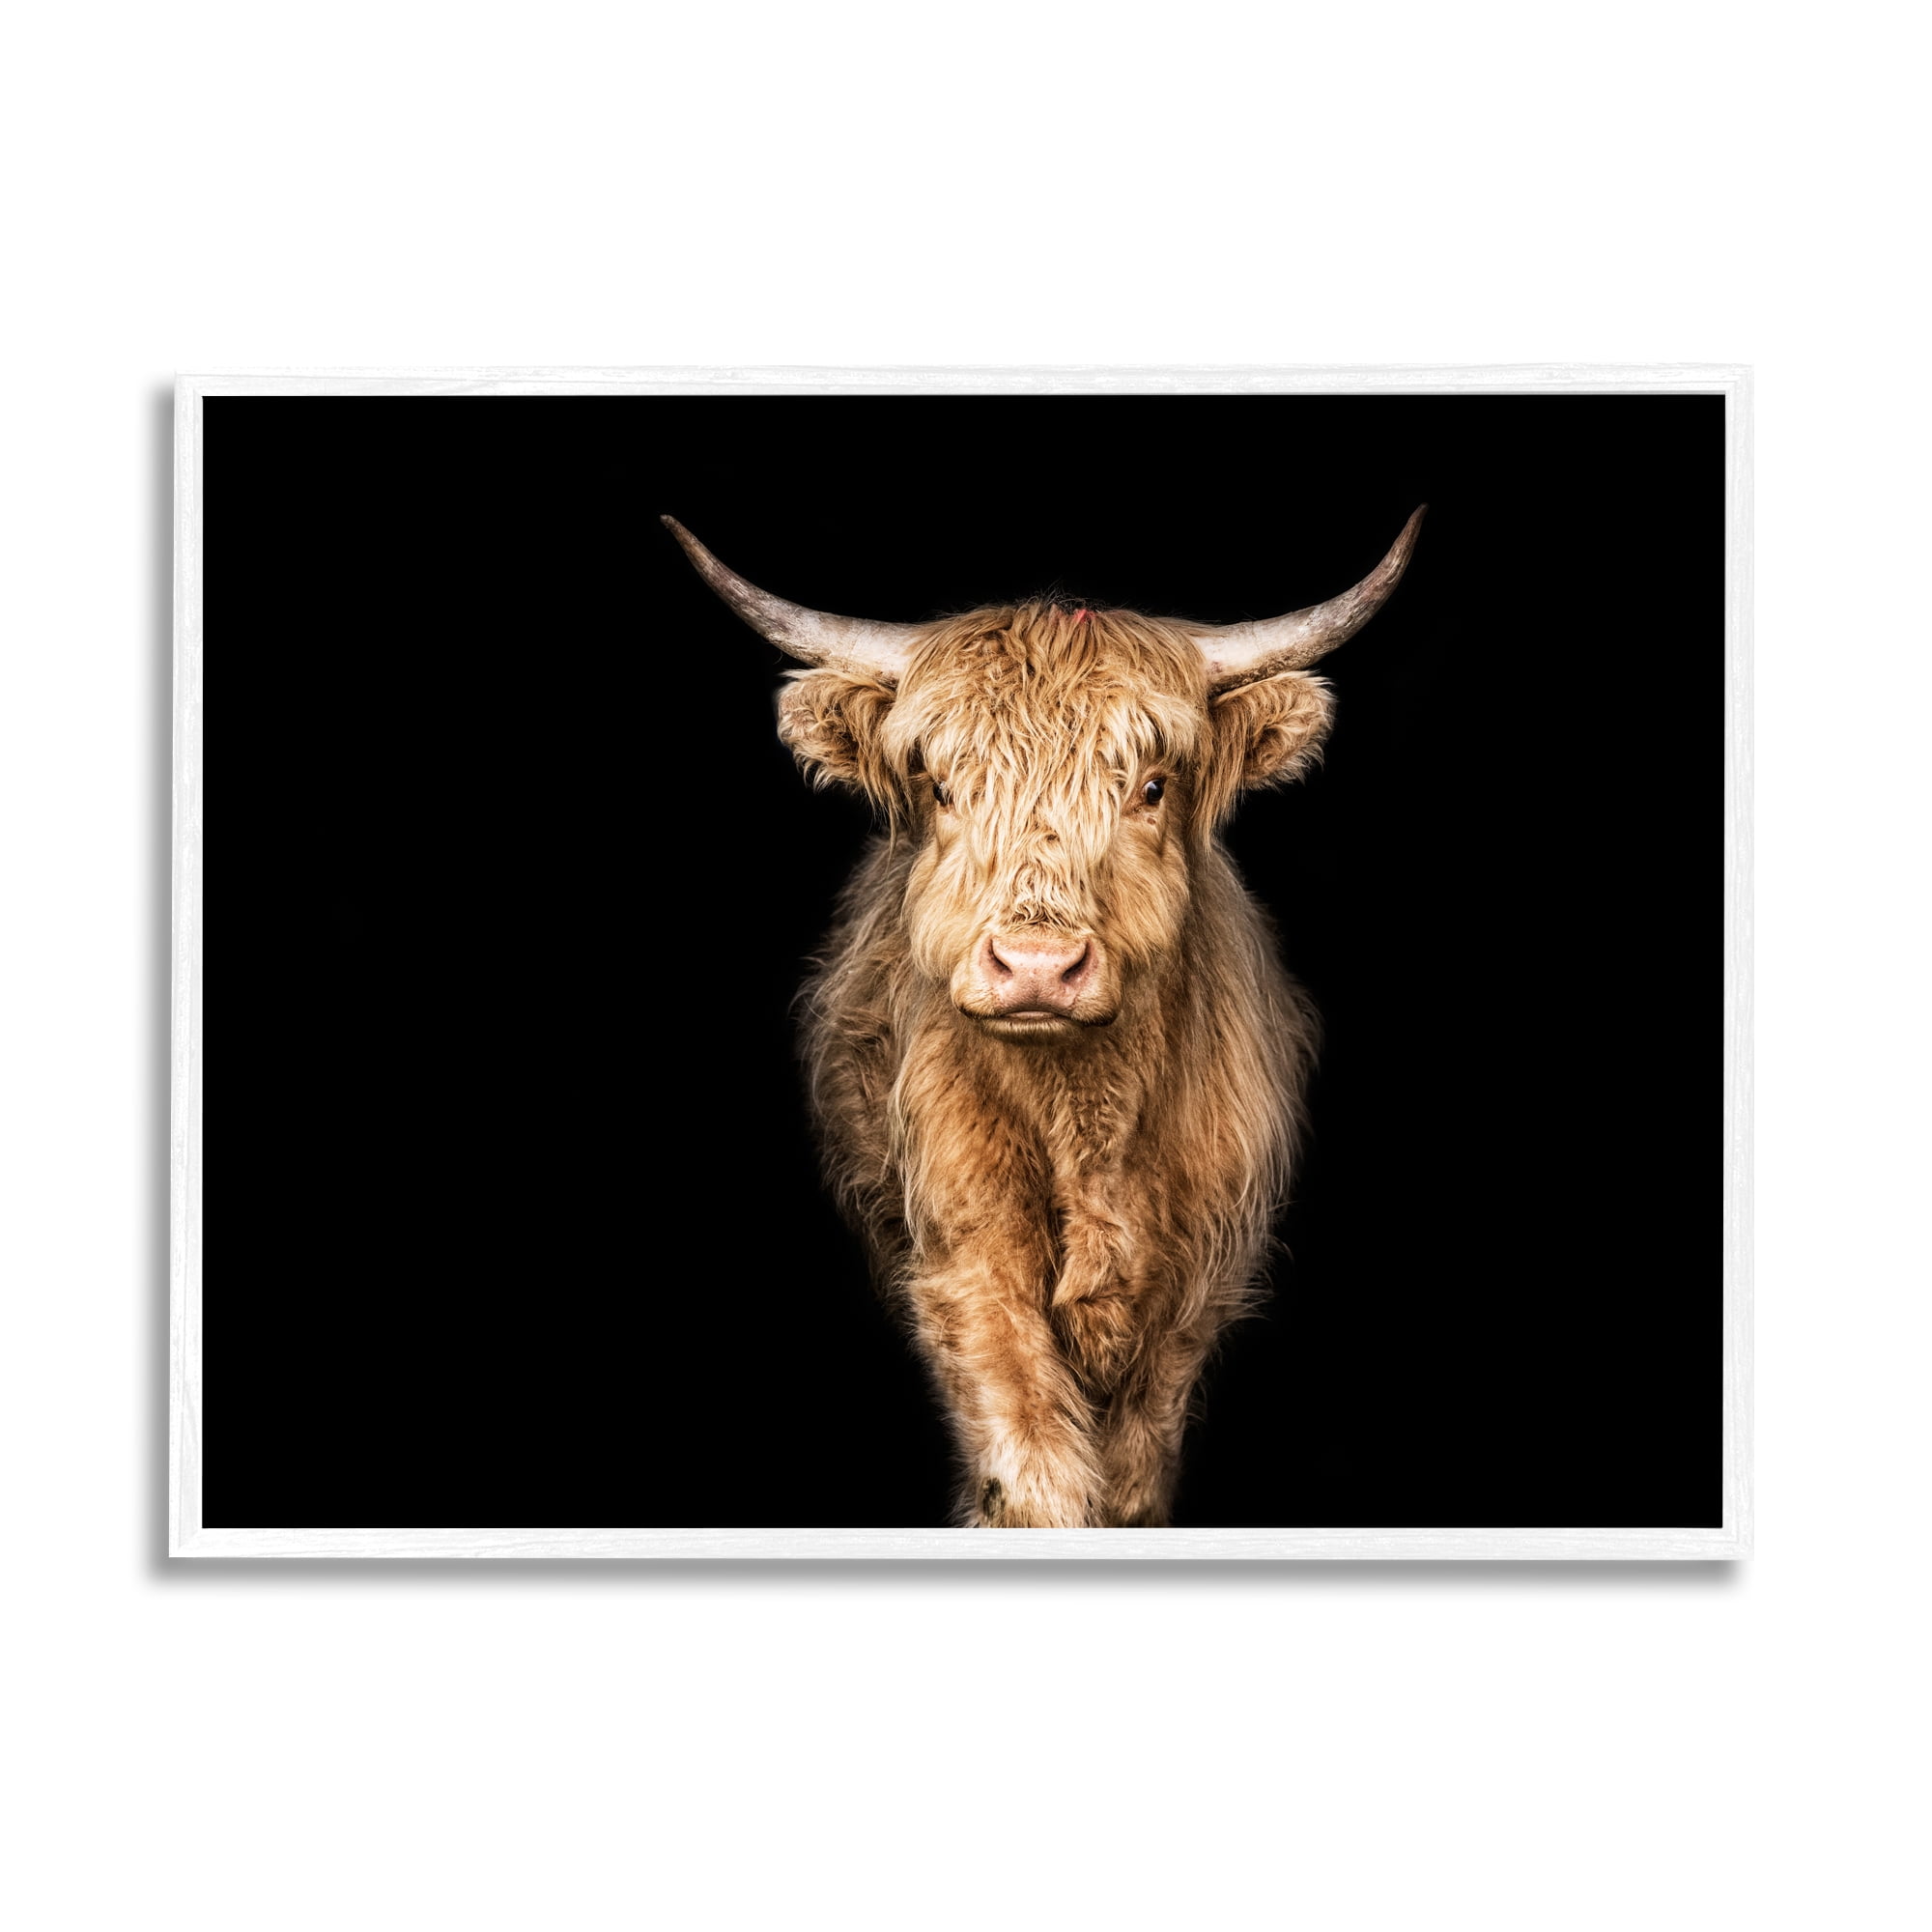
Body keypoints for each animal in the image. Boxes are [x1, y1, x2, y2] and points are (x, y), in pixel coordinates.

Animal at [666, 509, 1426, 1527]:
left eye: (1151, 786)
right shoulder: (965, 1262)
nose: (1035, 968)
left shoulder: (1194, 1295)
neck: (1088, 1123)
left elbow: (1133, 1474)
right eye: (943, 787)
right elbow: (1030, 1466)